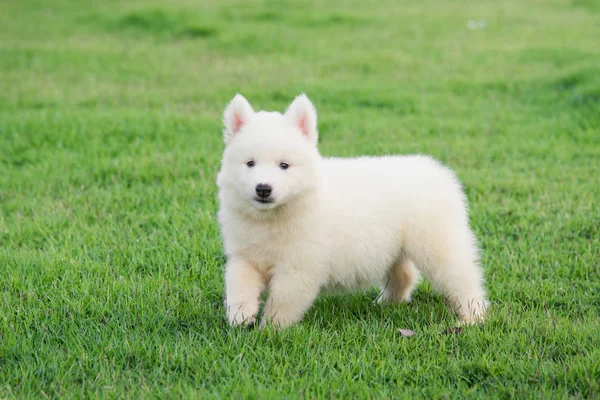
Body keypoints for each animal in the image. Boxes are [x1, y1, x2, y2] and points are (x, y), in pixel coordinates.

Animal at [216, 93, 488, 328]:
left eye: (284, 165)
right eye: (250, 163)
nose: (263, 189)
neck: (273, 217)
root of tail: (439, 172)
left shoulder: (299, 266)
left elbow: (282, 301)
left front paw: (270, 329)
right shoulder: (244, 255)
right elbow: (238, 283)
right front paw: (241, 315)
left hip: (439, 245)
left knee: (462, 278)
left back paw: (471, 317)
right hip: (396, 245)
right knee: (404, 275)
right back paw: (387, 303)